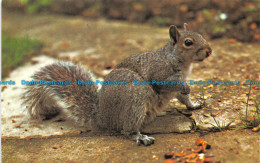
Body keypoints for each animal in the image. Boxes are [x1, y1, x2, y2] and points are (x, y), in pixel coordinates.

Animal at [22, 23, 211, 146]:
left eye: (202, 35)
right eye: (188, 42)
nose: (209, 51)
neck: (178, 59)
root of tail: (102, 118)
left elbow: (183, 97)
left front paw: (194, 105)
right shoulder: (159, 73)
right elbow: (168, 84)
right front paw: (187, 88)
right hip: (135, 96)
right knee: (127, 130)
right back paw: (140, 137)